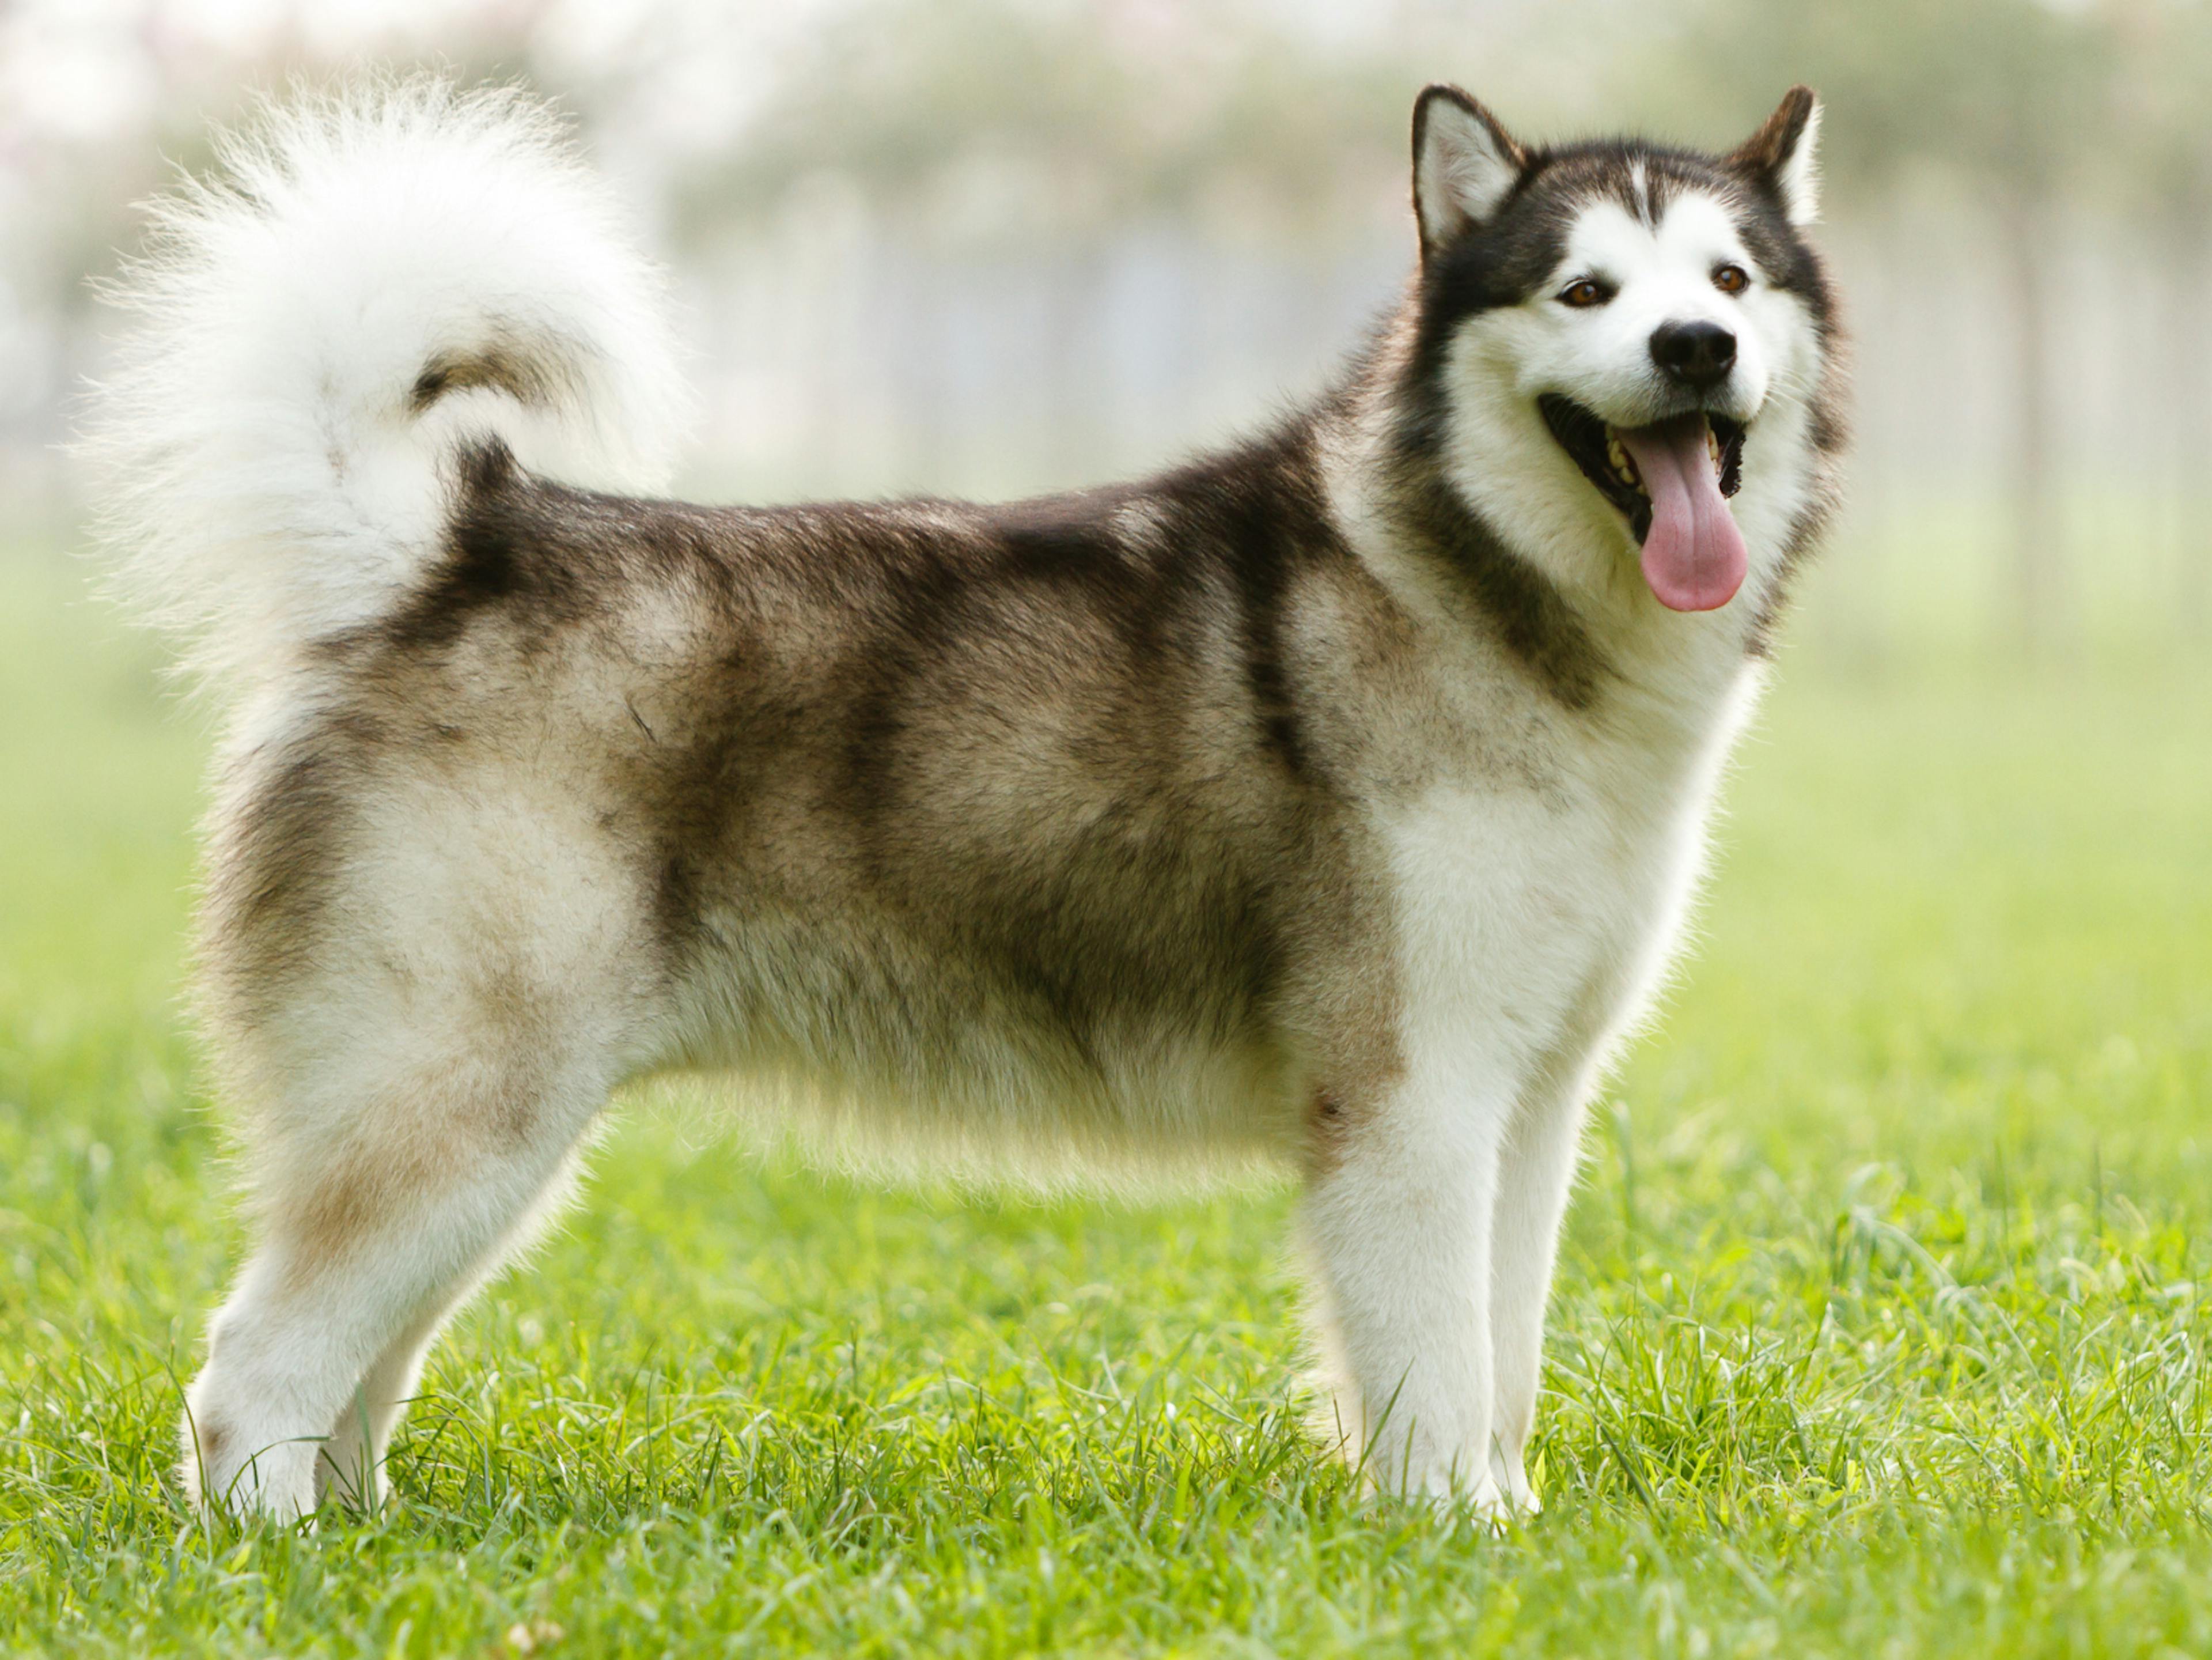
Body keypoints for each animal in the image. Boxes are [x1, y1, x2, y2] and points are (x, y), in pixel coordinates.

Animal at [86, 84, 1840, 1532]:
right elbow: (1427, 1364)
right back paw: (283, 1556)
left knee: (353, 1365)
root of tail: (450, 546)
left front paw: (1512, 1521)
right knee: (253, 1366)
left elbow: (1502, 1356)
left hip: (481, 1142)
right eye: (1585, 290)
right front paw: (1451, 1543)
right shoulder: (1407, 1095)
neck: (1488, 600)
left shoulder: (1526, 1100)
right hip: (464, 1100)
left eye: (1729, 284)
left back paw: (372, 1535)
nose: (1692, 353)